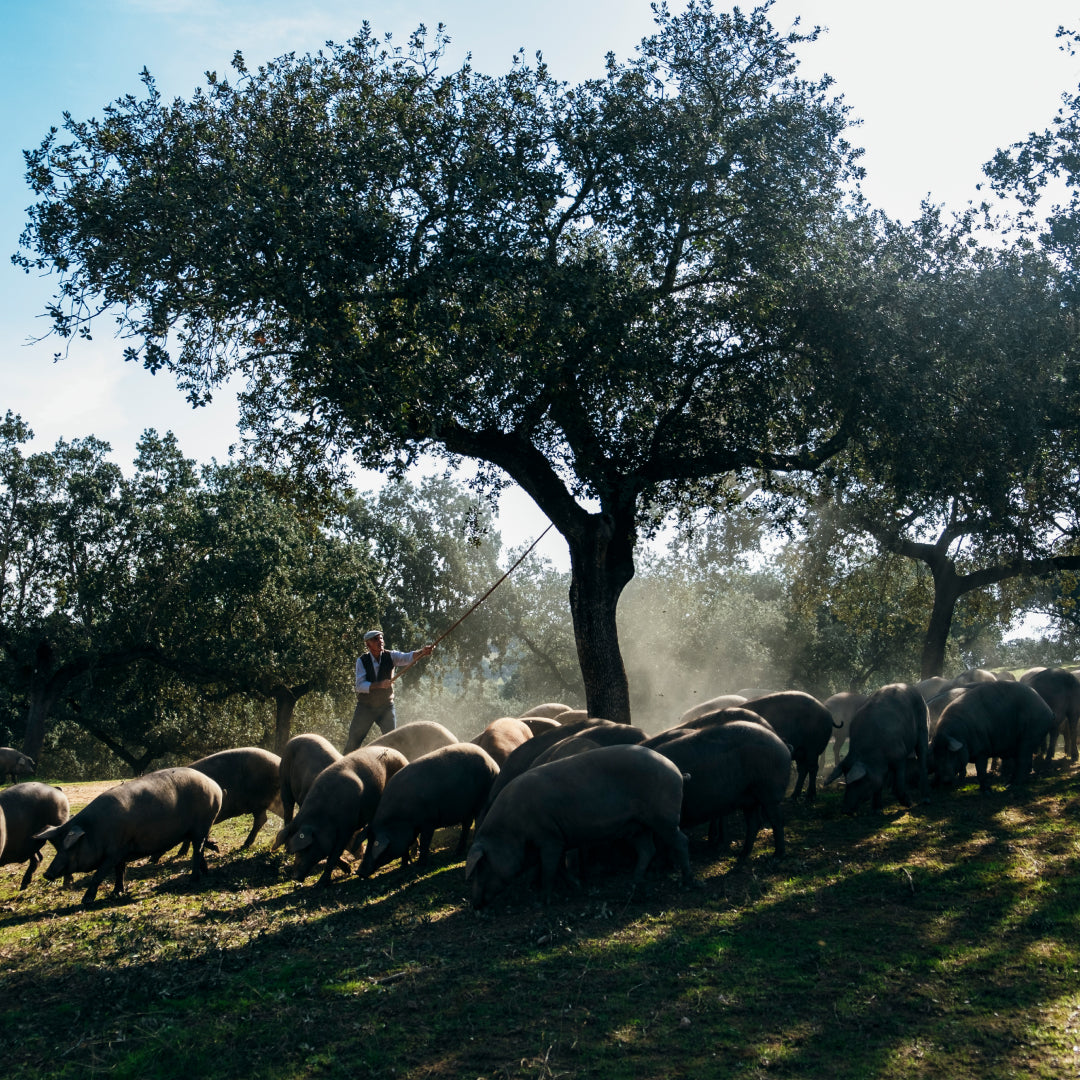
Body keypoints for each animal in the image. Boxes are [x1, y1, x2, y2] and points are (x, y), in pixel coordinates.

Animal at [34, 764, 223, 907]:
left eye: (71, 847)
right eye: (57, 847)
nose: (47, 874)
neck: (95, 830)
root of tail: (215, 787)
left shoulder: (114, 852)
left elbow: (98, 875)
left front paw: (86, 900)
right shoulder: (121, 850)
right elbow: (120, 871)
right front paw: (117, 892)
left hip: (202, 823)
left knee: (197, 850)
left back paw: (194, 879)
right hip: (196, 829)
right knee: (200, 848)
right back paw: (207, 867)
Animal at [272, 743, 406, 885]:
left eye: (306, 849)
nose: (295, 877)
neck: (324, 816)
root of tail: (399, 753)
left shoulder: (346, 828)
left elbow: (334, 854)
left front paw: (321, 883)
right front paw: (348, 870)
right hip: (285, 786)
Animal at [358, 743, 501, 876]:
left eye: (374, 844)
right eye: (369, 840)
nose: (358, 871)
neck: (398, 820)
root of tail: (493, 763)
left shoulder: (428, 821)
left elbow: (424, 842)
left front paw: (420, 866)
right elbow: (406, 845)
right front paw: (404, 866)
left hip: (482, 798)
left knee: (478, 821)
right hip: (466, 809)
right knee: (466, 825)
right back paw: (457, 852)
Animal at [648, 717, 794, 859]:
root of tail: (781, 744)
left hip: (769, 792)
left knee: (776, 821)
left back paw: (776, 856)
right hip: (750, 798)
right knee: (754, 823)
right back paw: (742, 855)